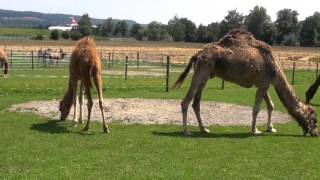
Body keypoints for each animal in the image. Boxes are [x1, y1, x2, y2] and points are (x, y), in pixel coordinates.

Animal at [174, 29, 318, 136]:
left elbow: (270, 105)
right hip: (201, 72)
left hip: (205, 77)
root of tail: (197, 54)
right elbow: (256, 108)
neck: (275, 66)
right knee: (186, 101)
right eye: (314, 120)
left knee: (196, 103)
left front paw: (270, 128)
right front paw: (255, 130)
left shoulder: (263, 84)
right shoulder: (264, 83)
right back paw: (186, 131)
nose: (316, 133)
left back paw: (204, 129)